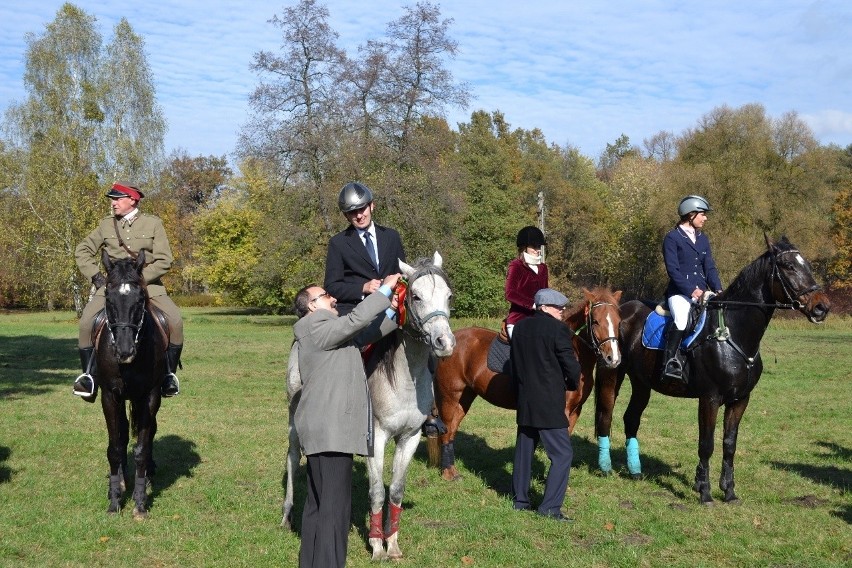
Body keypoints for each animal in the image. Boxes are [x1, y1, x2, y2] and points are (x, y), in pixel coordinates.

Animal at [94, 251, 167, 516]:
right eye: (108, 296)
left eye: (141, 298)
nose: (125, 352)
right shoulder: (109, 396)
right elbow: (115, 448)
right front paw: (115, 499)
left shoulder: (149, 396)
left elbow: (141, 449)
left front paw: (140, 502)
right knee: (123, 434)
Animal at [436, 288, 624, 480]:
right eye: (595, 321)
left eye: (619, 321)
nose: (613, 359)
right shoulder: (560, 412)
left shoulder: (574, 411)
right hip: (450, 397)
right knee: (446, 430)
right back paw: (447, 474)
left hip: (464, 397)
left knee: (452, 430)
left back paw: (451, 470)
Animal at [596, 234, 828, 502]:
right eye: (788, 266)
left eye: (806, 265)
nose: (822, 307)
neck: (732, 333)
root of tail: (618, 310)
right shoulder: (710, 398)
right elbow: (706, 444)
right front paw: (705, 492)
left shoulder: (740, 400)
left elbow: (729, 443)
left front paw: (728, 490)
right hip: (611, 374)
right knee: (606, 416)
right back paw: (605, 468)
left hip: (642, 383)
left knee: (631, 418)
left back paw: (635, 471)